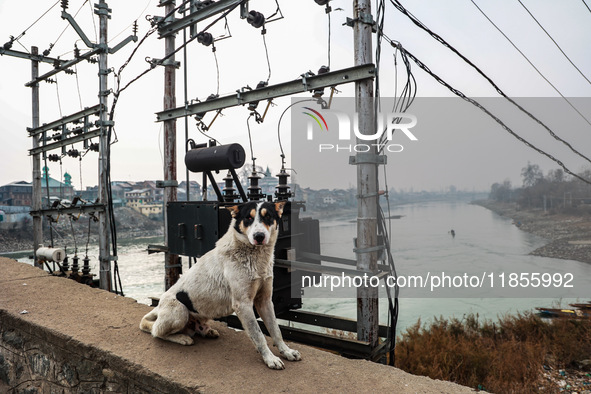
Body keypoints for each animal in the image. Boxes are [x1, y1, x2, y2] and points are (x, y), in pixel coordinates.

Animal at [138, 200, 300, 370]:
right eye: (248, 218)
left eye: (268, 216)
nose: (259, 236)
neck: (255, 257)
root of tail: (158, 306)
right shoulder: (243, 304)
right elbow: (258, 334)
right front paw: (270, 358)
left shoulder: (265, 300)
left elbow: (276, 330)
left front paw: (286, 351)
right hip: (179, 312)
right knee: (155, 331)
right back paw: (182, 338)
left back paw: (206, 331)